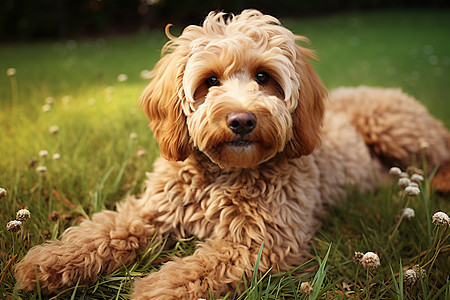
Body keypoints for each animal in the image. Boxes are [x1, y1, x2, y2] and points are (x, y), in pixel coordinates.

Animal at [14, 8, 450, 298]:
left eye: (264, 77)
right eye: (210, 81)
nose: (242, 120)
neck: (222, 174)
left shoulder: (264, 242)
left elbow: (198, 268)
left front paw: (153, 289)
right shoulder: (152, 211)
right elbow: (104, 231)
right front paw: (52, 263)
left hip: (396, 127)